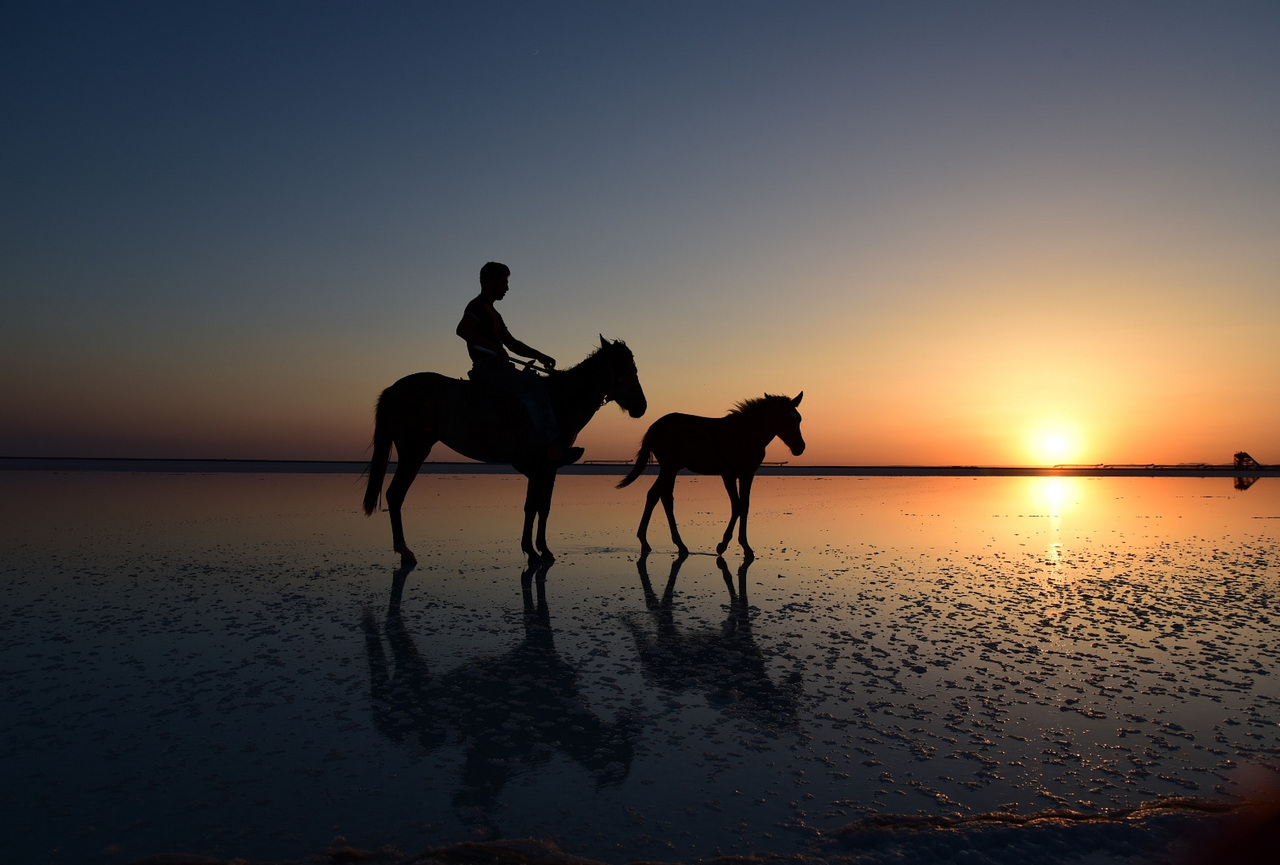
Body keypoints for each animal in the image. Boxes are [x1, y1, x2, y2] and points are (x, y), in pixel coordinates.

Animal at [363, 335, 645, 563]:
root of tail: (394, 388)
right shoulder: (540, 465)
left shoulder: (551, 467)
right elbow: (531, 506)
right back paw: (405, 551)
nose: (641, 406)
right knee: (395, 495)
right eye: (626, 368)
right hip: (414, 451)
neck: (560, 400)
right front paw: (531, 550)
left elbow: (544, 507)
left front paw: (544, 550)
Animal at [614, 394, 803, 560]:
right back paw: (665, 543)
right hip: (669, 467)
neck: (746, 433)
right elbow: (737, 506)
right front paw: (723, 545)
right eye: (786, 419)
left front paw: (746, 547)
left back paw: (659, 543)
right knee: (660, 495)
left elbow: (744, 506)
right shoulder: (728, 475)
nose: (800, 447)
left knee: (659, 495)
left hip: (672, 468)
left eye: (799, 419)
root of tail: (654, 427)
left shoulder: (747, 474)